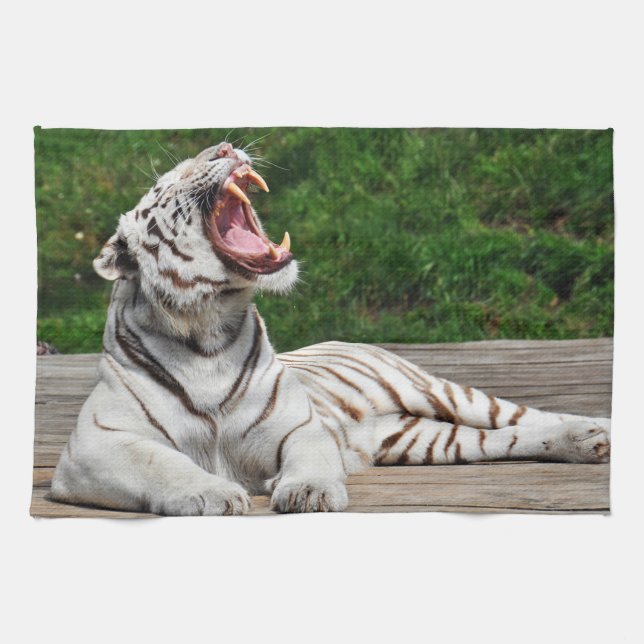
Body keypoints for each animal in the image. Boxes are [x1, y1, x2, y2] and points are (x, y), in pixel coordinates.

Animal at [50, 142, 611, 515]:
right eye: (162, 186)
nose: (225, 146)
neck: (208, 330)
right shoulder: (95, 445)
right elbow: (160, 462)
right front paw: (209, 492)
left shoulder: (300, 426)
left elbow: (309, 457)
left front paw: (309, 491)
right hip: (422, 439)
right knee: (502, 438)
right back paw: (586, 443)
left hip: (438, 389)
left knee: (521, 414)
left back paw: (592, 430)